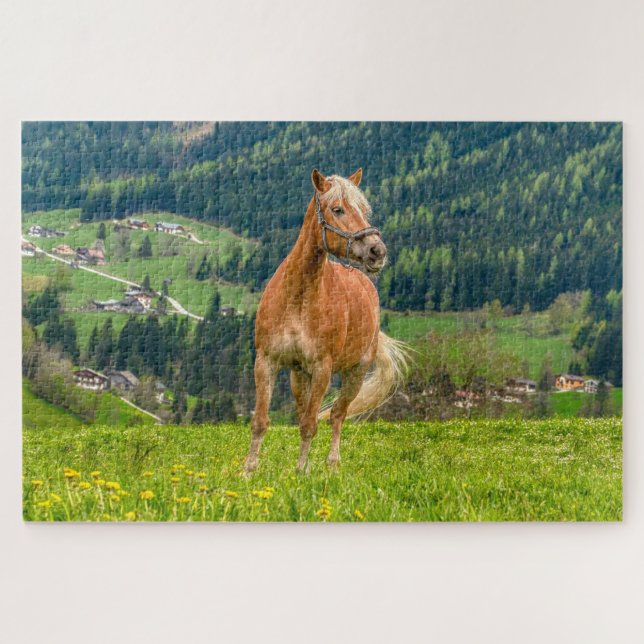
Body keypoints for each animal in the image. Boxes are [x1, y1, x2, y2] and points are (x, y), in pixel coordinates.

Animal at [245, 168, 408, 472]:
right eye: (338, 209)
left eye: (363, 210)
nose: (377, 251)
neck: (297, 299)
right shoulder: (266, 362)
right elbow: (261, 421)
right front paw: (248, 470)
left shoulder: (323, 368)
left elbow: (310, 425)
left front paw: (300, 472)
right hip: (299, 375)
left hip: (355, 372)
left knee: (337, 415)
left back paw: (332, 464)